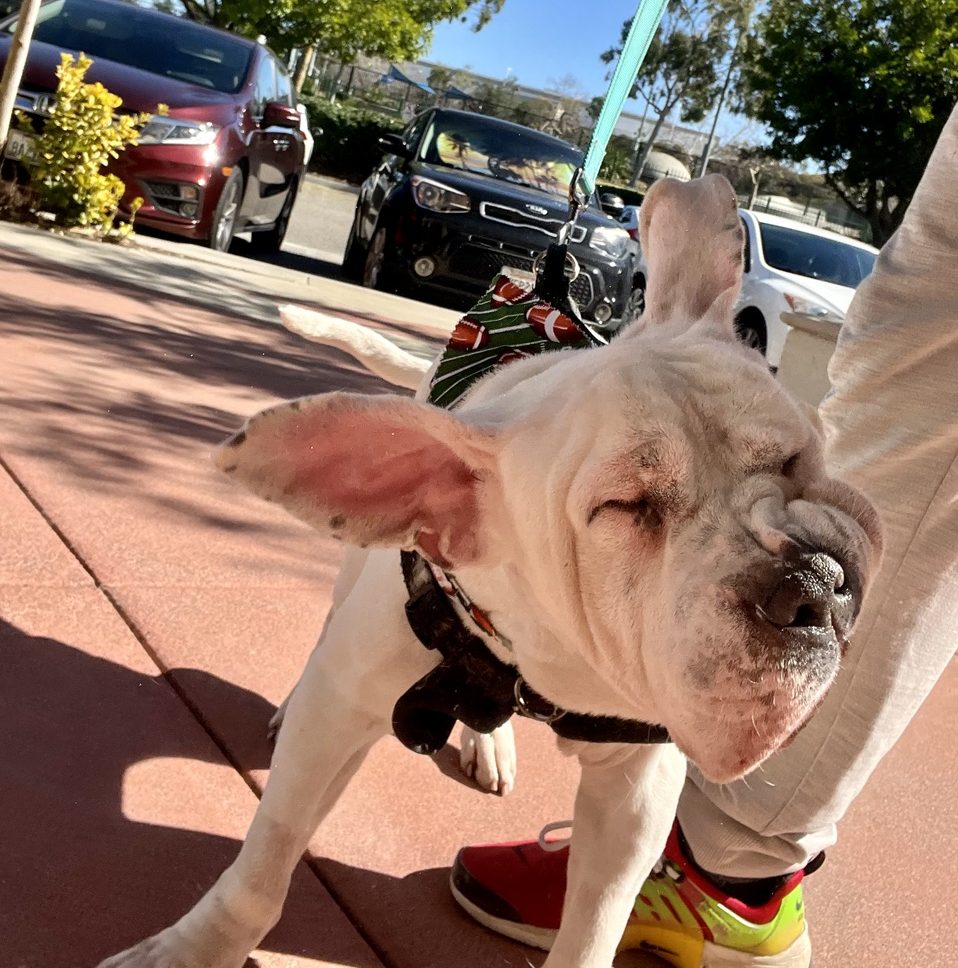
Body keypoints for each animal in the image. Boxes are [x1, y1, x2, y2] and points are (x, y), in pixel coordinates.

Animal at [101, 178, 880, 968]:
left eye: (795, 458)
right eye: (627, 509)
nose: (812, 581)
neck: (547, 664)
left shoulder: (636, 793)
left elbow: (594, 926)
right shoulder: (335, 722)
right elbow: (264, 865)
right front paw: (193, 950)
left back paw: (488, 738)